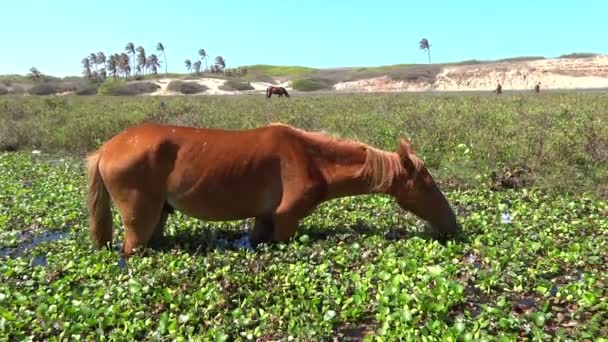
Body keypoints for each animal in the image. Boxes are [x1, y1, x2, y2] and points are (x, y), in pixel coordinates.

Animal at [84, 122, 456, 256]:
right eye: (427, 184)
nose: (453, 225)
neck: (312, 159)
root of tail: (106, 148)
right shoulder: (286, 219)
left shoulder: (263, 219)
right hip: (139, 218)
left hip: (160, 214)